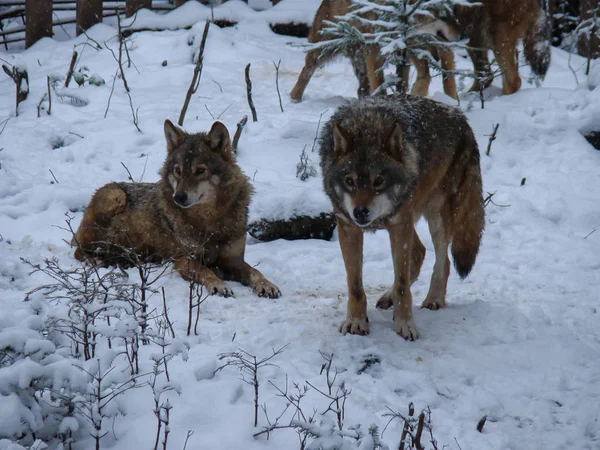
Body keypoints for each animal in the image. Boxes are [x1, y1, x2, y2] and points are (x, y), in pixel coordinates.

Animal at [72, 119, 282, 298]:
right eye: (178, 171)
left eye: (200, 171)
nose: (178, 197)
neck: (209, 219)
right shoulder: (183, 259)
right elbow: (205, 270)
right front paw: (219, 284)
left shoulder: (233, 261)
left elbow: (255, 272)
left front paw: (267, 285)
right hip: (115, 197)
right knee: (78, 251)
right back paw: (96, 260)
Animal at [322, 96, 486, 342]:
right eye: (350, 181)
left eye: (378, 181)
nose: (360, 212)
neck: (367, 125)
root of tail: (460, 116)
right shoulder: (348, 227)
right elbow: (355, 285)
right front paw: (356, 322)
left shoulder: (400, 225)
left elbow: (402, 284)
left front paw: (404, 324)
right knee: (419, 252)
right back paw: (388, 297)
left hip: (434, 214)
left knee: (443, 259)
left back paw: (433, 299)